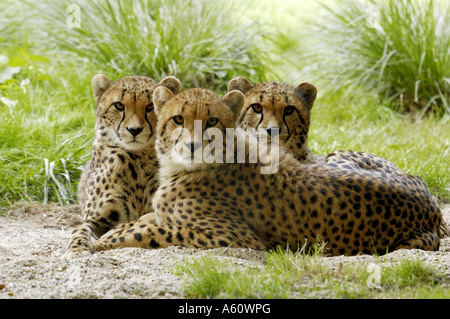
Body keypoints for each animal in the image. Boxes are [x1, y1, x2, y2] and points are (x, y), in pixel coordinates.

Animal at [65, 74, 181, 256]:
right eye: (119, 105)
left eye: (150, 106)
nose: (134, 130)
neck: (138, 158)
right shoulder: (96, 220)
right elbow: (79, 230)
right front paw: (76, 249)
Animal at [93, 86, 444, 256]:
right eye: (179, 119)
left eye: (212, 121)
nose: (192, 146)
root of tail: (432, 205)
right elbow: (145, 220)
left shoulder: (239, 238)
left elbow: (157, 230)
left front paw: (108, 239)